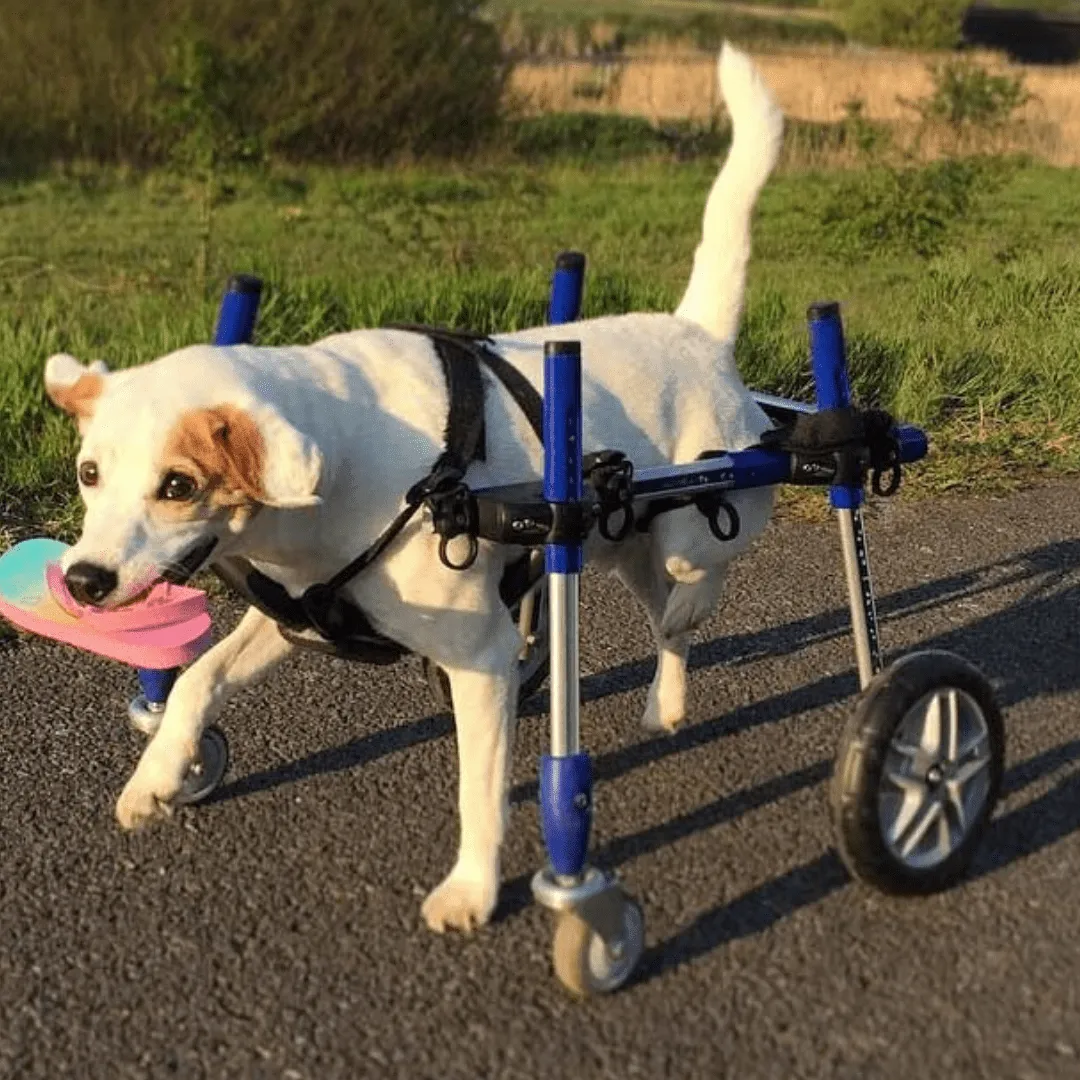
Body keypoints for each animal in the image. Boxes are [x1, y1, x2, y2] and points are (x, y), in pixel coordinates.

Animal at [44, 46, 786, 933]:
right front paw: (158, 776)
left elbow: (479, 790)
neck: (344, 463)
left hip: (693, 516)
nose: (83, 582)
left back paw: (693, 608)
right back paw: (666, 700)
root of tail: (696, 332)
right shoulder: (292, 615)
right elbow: (196, 680)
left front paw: (472, 888)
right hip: (618, 542)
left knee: (703, 574)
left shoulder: (480, 659)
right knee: (666, 619)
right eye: (89, 473)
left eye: (179, 484)